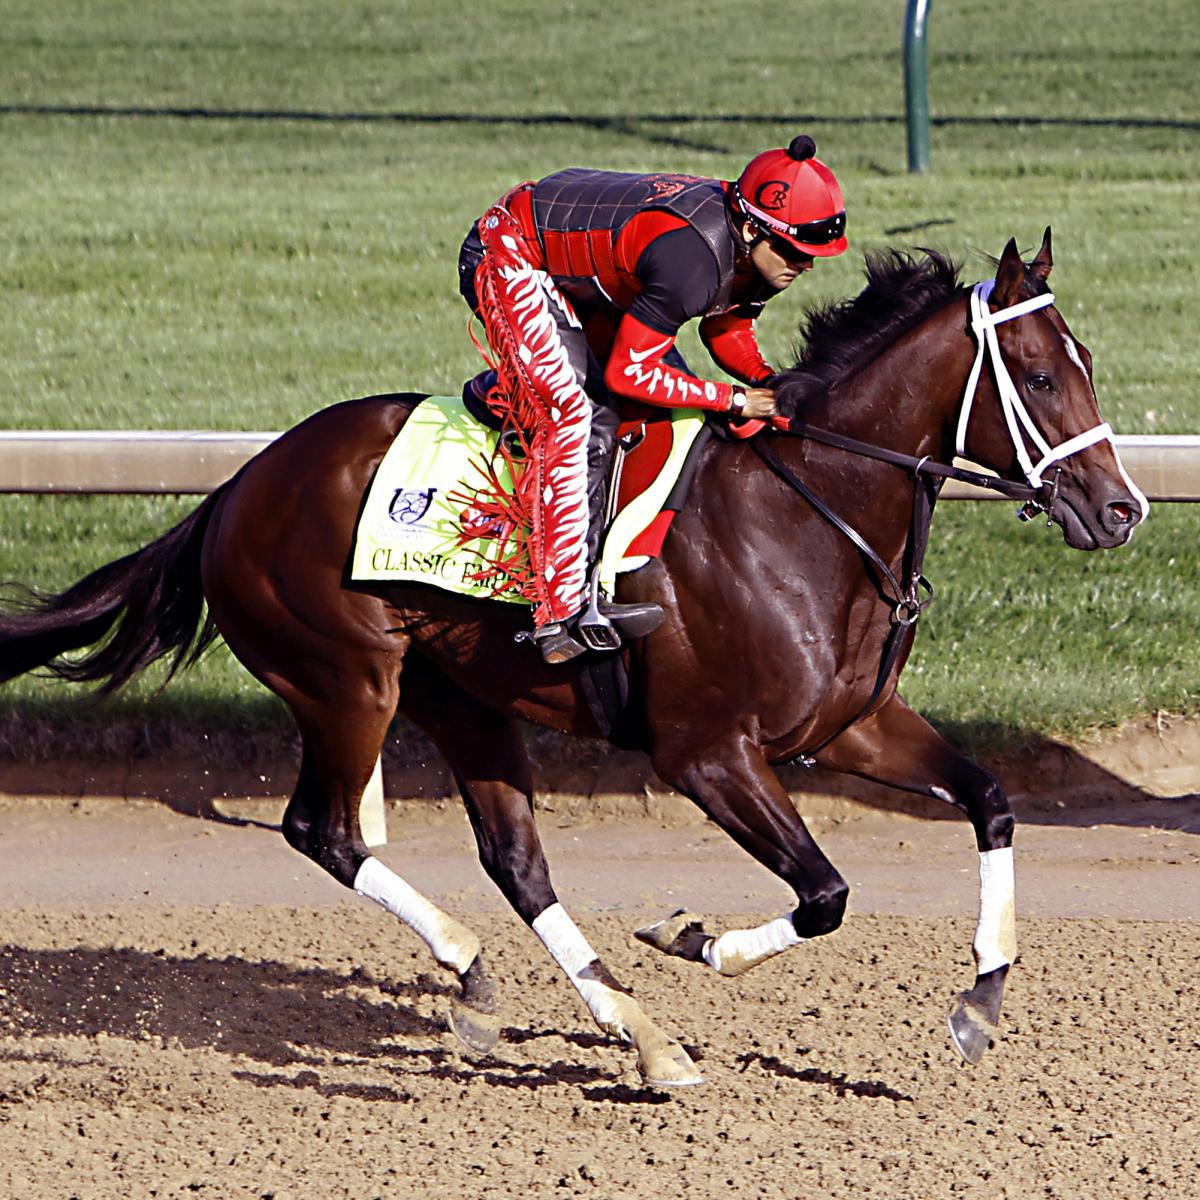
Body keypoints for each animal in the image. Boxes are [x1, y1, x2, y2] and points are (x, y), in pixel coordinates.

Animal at [0, 231, 1142, 1089]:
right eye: (1041, 375)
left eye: (1087, 363)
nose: (1122, 510)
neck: (803, 515)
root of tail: (239, 485)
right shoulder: (705, 754)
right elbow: (824, 894)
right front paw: (691, 937)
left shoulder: (848, 727)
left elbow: (991, 800)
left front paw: (981, 999)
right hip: (346, 682)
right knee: (322, 830)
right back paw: (491, 973)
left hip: (460, 697)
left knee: (515, 862)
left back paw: (632, 1033)